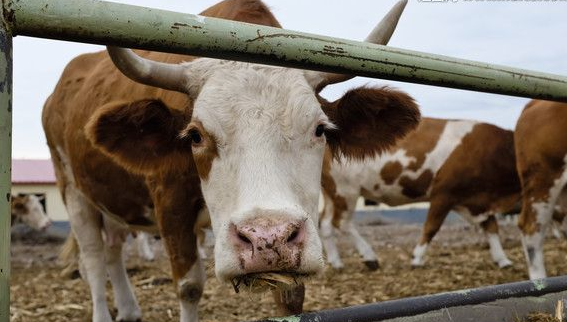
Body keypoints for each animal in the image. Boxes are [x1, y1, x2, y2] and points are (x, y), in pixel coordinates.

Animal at [41, 0, 422, 322]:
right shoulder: (170, 205)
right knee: (93, 257)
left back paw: (129, 309)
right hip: (72, 191)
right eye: (195, 135)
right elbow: (189, 287)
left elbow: (291, 297)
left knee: (113, 249)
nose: (268, 238)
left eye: (320, 129)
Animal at [320, 117, 520, 270]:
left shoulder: (476, 201)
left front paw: (503, 259)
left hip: (331, 194)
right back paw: (369, 256)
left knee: (326, 224)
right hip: (345, 190)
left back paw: (336, 262)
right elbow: (431, 227)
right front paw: (417, 258)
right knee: (342, 223)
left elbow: (491, 227)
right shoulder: (443, 194)